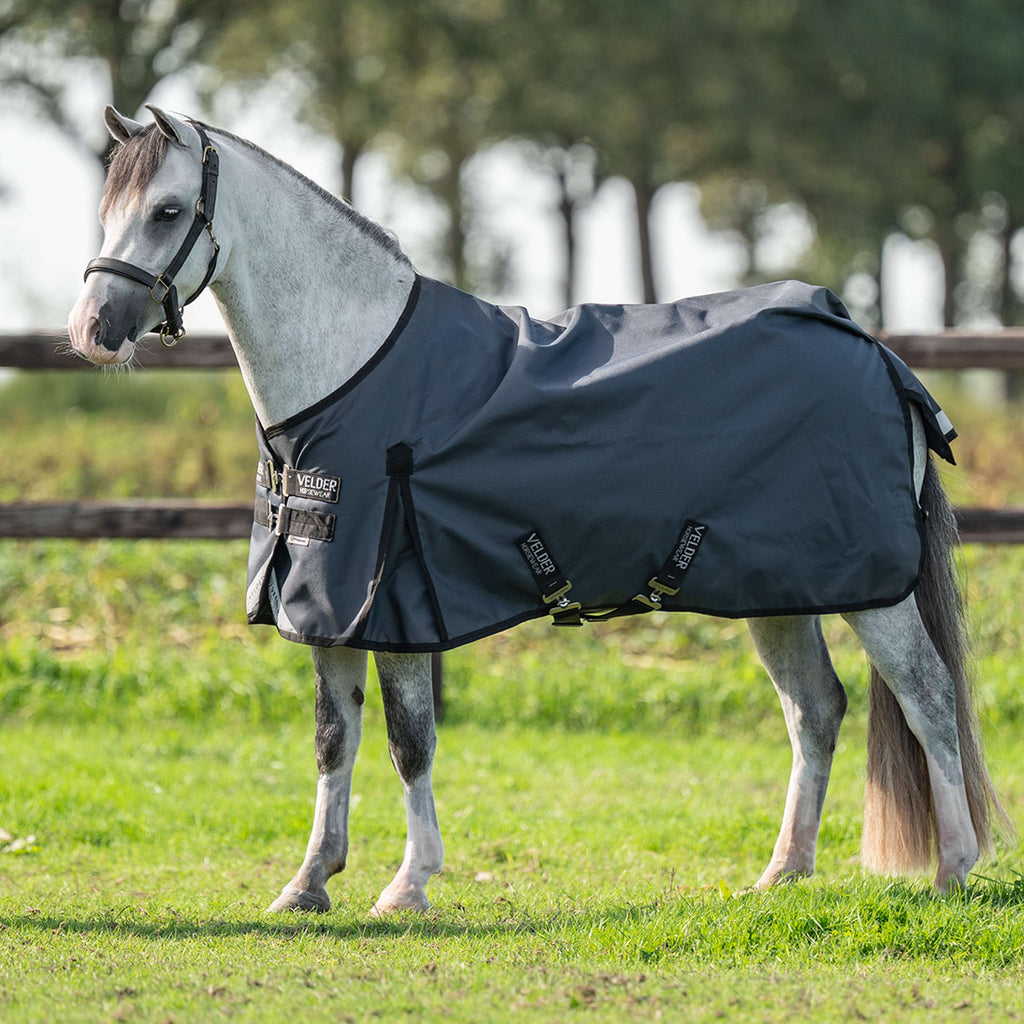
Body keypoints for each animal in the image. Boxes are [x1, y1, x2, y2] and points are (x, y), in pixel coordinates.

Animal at [67, 105, 1008, 914]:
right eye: (104, 210)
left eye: (168, 210)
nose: (90, 331)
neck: (351, 373)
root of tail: (874, 349)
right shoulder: (325, 606)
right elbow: (335, 740)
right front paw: (308, 884)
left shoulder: (396, 608)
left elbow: (410, 741)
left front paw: (407, 886)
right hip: (777, 592)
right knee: (815, 711)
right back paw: (782, 875)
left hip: (873, 591)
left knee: (928, 697)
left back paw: (954, 869)